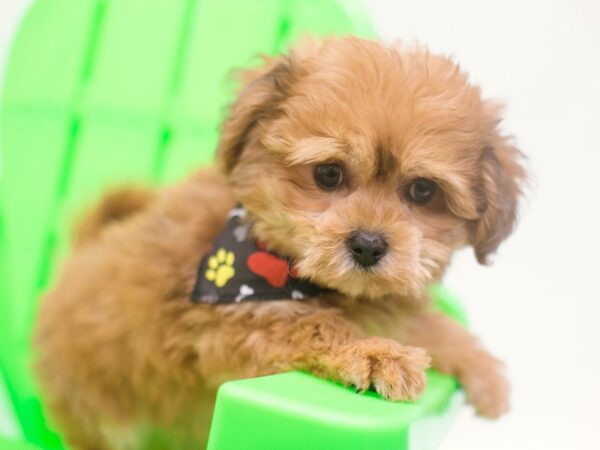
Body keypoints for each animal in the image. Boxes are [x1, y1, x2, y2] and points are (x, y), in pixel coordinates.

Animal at [35, 37, 528, 448]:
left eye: (423, 191)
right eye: (328, 173)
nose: (368, 245)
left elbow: (426, 325)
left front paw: (481, 368)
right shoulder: (232, 323)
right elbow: (315, 324)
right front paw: (375, 355)